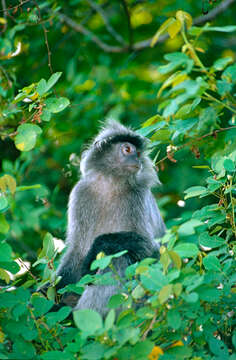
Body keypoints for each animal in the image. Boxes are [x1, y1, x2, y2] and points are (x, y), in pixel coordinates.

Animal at [56, 120, 165, 304]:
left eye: (138, 153)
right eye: (127, 149)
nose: (137, 159)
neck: (111, 184)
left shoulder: (138, 196)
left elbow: (152, 249)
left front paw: (94, 253)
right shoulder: (80, 193)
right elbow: (77, 252)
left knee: (118, 257)